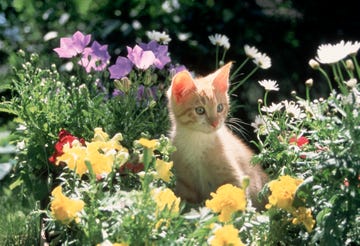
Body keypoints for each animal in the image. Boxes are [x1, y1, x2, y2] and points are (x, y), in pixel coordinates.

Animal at [167, 62, 268, 209]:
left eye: (220, 108)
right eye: (200, 110)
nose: (215, 123)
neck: (197, 139)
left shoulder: (234, 178)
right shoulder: (184, 182)